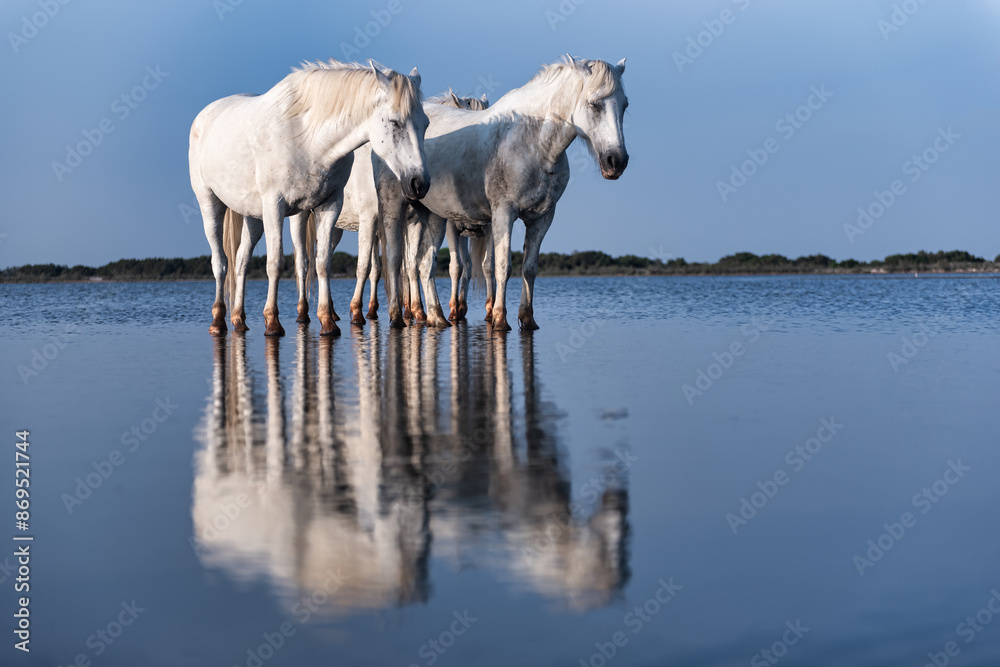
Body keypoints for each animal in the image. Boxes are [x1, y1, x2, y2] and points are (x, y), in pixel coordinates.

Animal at [189, 59, 429, 337]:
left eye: (426, 123)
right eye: (395, 122)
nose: (419, 183)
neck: (307, 139)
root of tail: (205, 115)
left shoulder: (329, 206)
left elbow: (322, 262)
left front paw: (327, 321)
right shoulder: (275, 206)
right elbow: (275, 263)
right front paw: (272, 322)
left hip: (254, 216)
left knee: (241, 262)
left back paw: (239, 319)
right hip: (210, 205)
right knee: (220, 263)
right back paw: (218, 321)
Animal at [368, 55, 628, 331]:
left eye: (624, 105)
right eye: (594, 104)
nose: (616, 162)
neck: (533, 142)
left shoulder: (542, 218)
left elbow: (529, 268)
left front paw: (528, 319)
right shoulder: (504, 214)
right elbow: (503, 266)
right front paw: (500, 319)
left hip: (431, 216)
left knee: (423, 264)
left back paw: (435, 317)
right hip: (396, 208)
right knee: (399, 261)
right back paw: (408, 317)